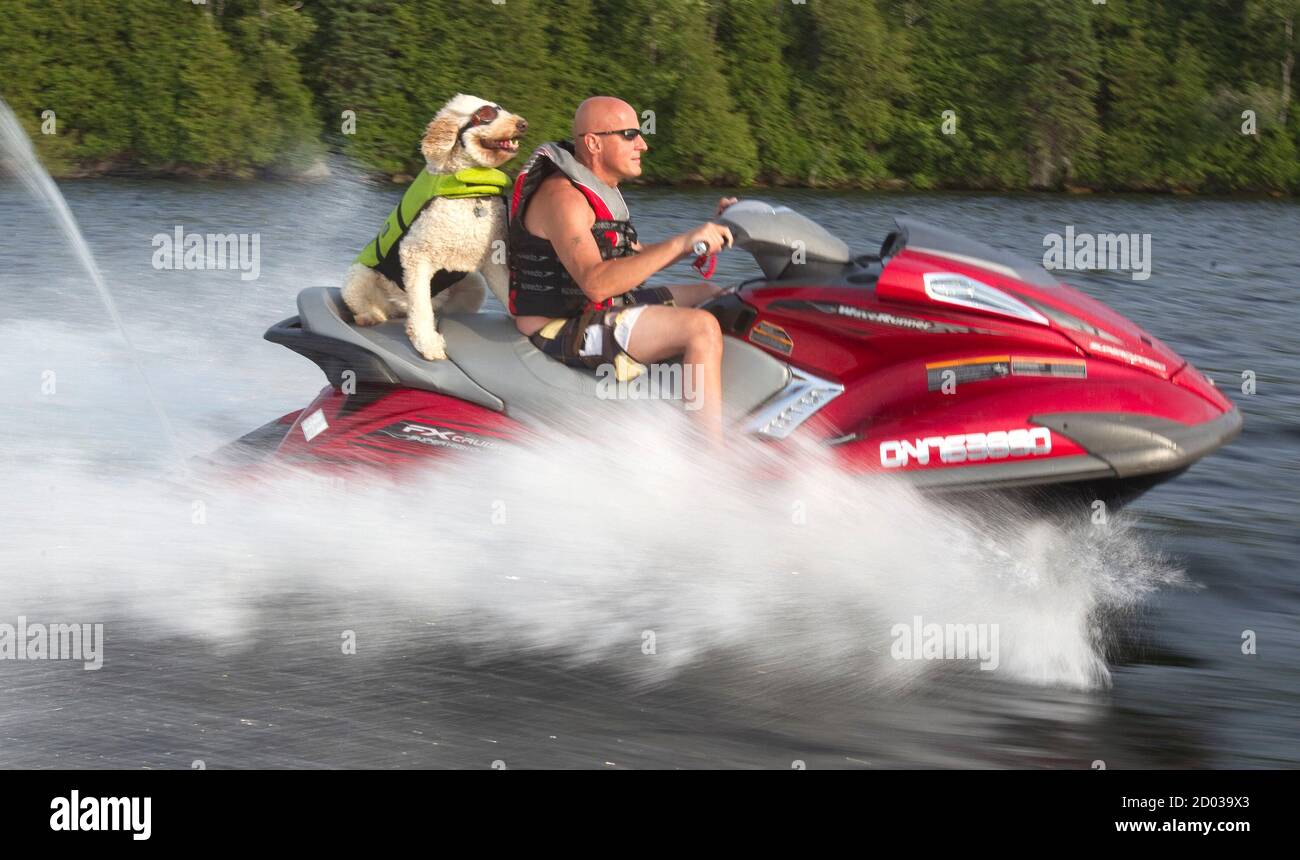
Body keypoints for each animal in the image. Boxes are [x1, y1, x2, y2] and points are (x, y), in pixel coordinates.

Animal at [345, 94, 533, 361]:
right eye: (485, 114)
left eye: (502, 109)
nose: (522, 124)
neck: (469, 189)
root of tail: (397, 308)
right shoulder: (416, 256)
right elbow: (421, 308)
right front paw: (429, 344)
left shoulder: (492, 261)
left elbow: (508, 292)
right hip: (359, 276)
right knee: (373, 308)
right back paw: (372, 316)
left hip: (473, 286)